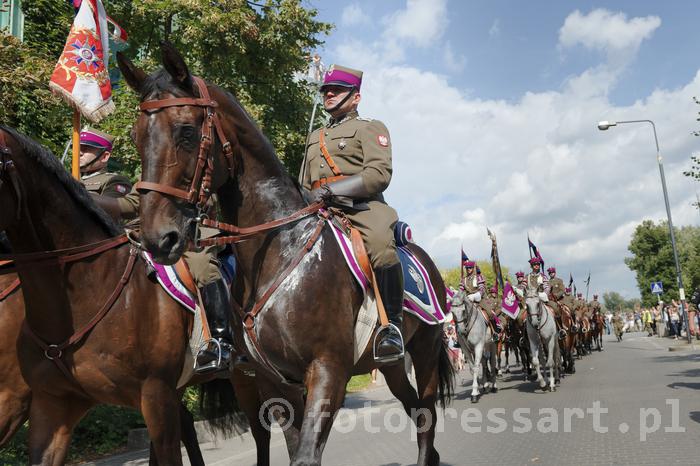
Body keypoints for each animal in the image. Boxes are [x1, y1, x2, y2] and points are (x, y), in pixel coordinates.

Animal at [117, 43, 456, 466]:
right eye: (136, 135)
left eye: (187, 131)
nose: (156, 237)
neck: (281, 247)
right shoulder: (275, 380)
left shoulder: (328, 370)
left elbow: (307, 452)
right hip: (389, 367)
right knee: (412, 405)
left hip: (423, 350)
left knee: (425, 413)